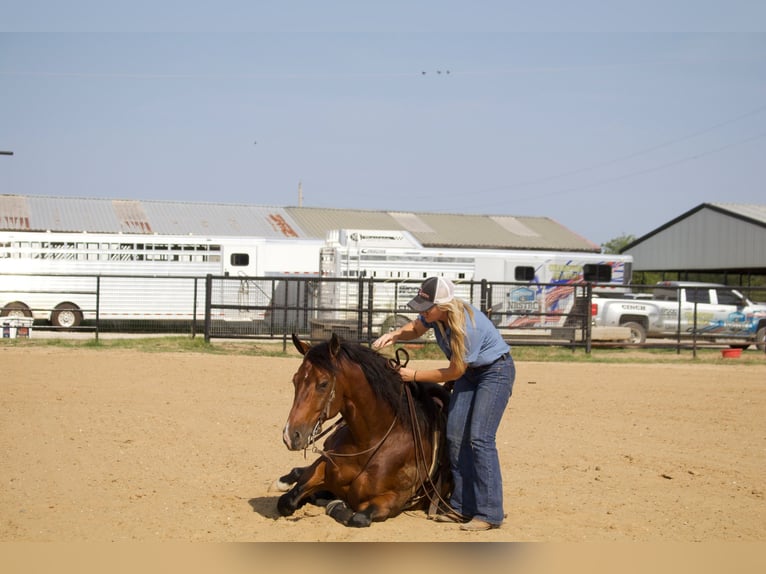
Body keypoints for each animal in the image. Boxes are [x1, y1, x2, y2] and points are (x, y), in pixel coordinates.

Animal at [276, 336, 452, 528]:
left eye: (323, 383)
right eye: (295, 380)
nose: (290, 436)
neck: (369, 442)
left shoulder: (394, 499)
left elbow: (357, 517)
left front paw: (335, 504)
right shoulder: (322, 466)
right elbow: (287, 501)